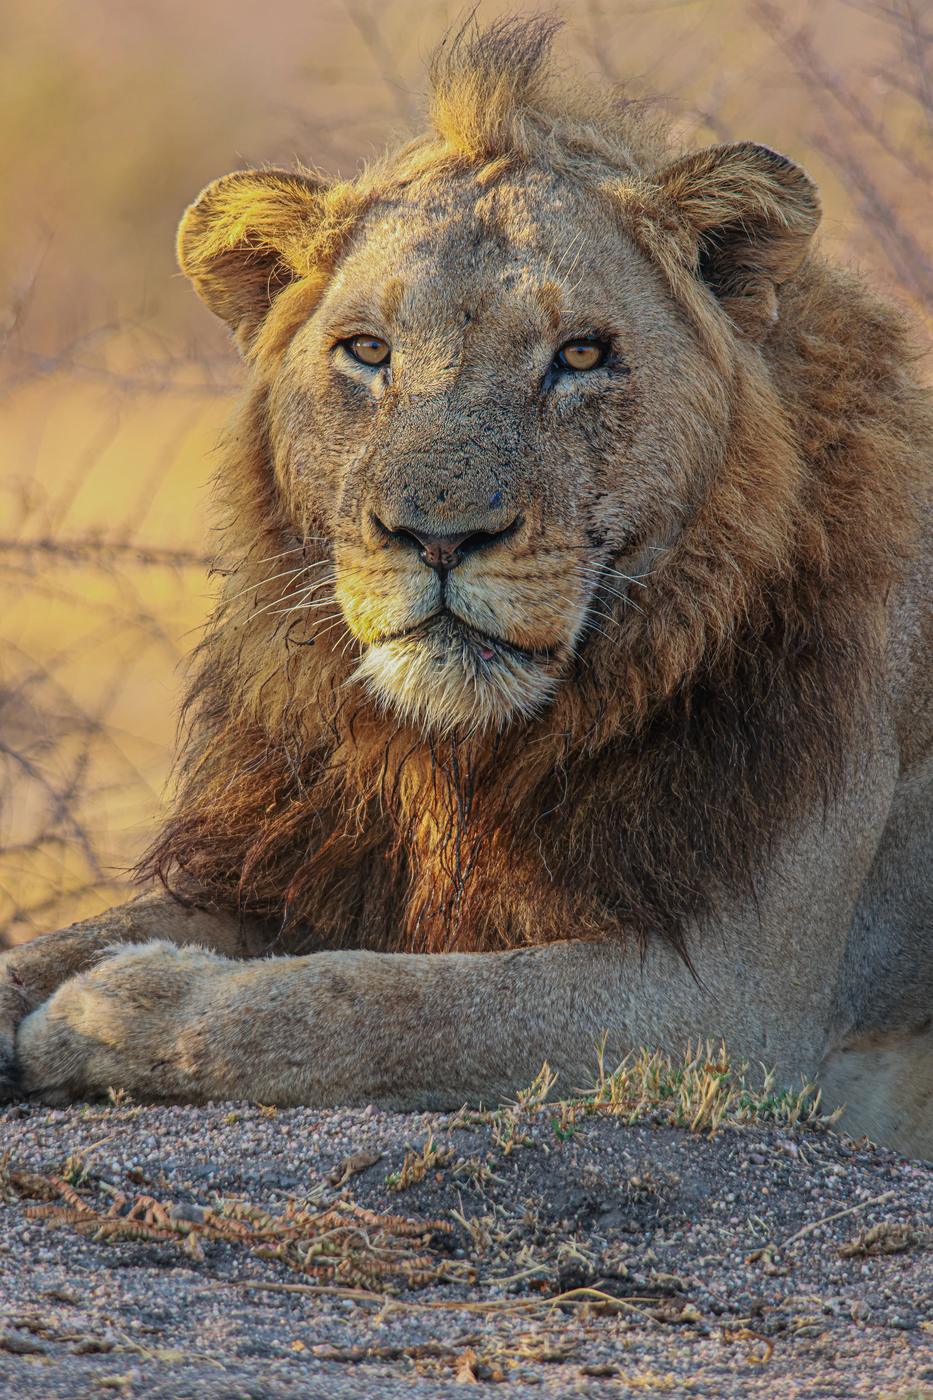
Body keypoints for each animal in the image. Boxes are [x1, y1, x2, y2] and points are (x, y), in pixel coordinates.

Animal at [2, 18, 930, 1156]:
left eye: (582, 353)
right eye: (367, 351)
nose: (438, 537)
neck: (471, 757)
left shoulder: (731, 1004)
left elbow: (380, 1001)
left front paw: (118, 1009)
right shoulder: (310, 857)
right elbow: (79, 934)